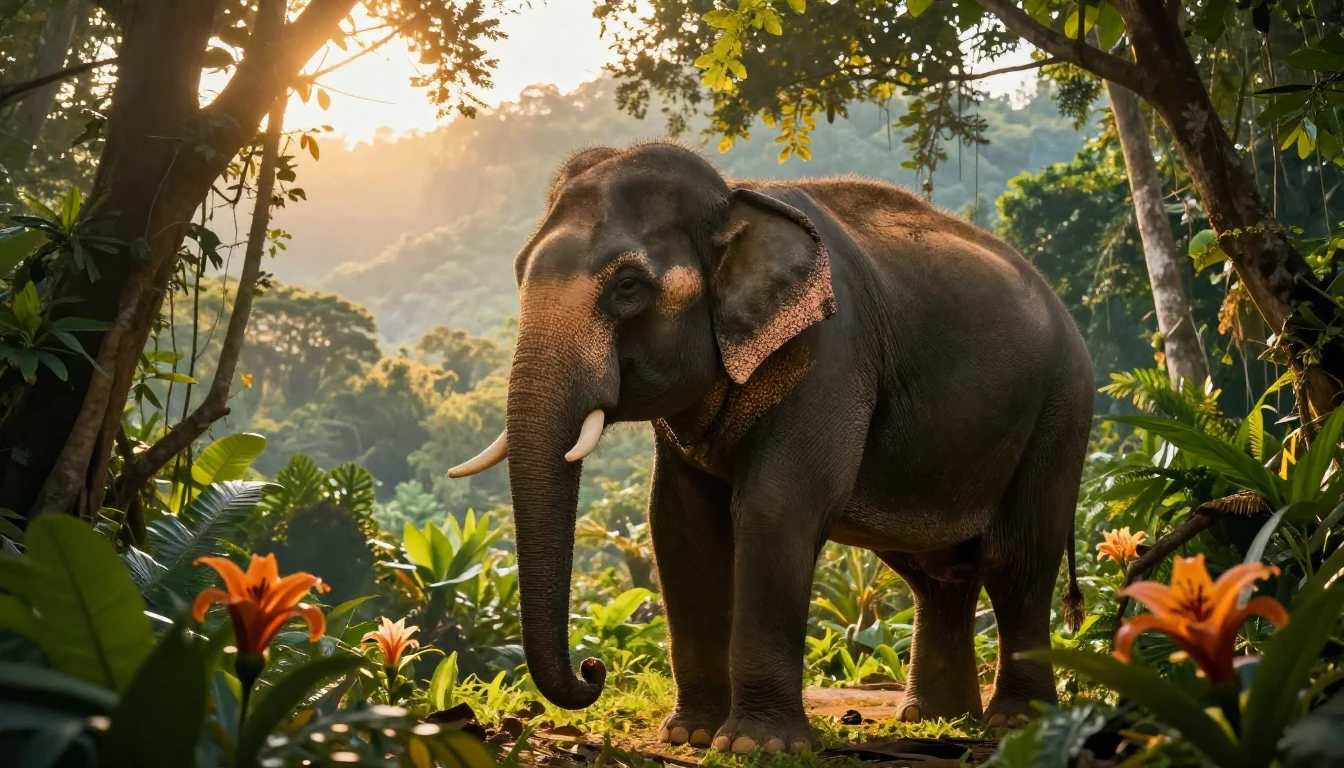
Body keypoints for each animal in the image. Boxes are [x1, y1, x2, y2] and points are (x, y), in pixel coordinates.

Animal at [449, 140, 1093, 754]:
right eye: (517, 271)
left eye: (628, 286)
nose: (592, 668)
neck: (735, 197)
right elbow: (679, 525)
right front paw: (689, 736)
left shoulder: (833, 353)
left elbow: (777, 506)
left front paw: (754, 743)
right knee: (936, 574)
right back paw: (937, 719)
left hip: (1062, 411)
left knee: (1017, 561)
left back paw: (1016, 720)